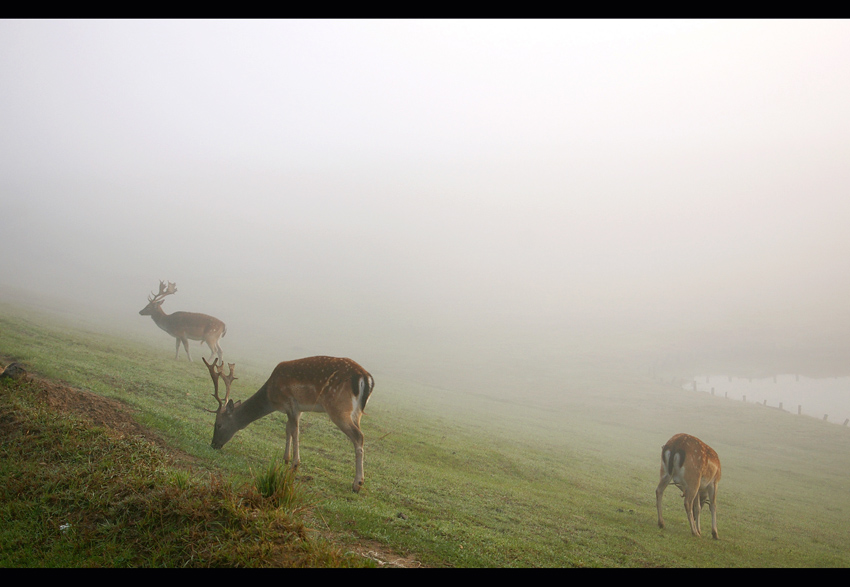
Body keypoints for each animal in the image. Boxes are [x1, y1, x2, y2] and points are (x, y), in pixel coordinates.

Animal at [202, 356, 374, 494]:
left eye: (218, 424)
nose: (213, 444)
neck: (270, 395)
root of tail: (365, 378)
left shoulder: (290, 402)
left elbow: (295, 430)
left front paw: (294, 464)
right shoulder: (297, 409)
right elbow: (288, 429)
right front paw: (286, 459)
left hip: (338, 406)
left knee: (359, 436)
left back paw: (357, 484)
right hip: (356, 412)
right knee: (360, 433)